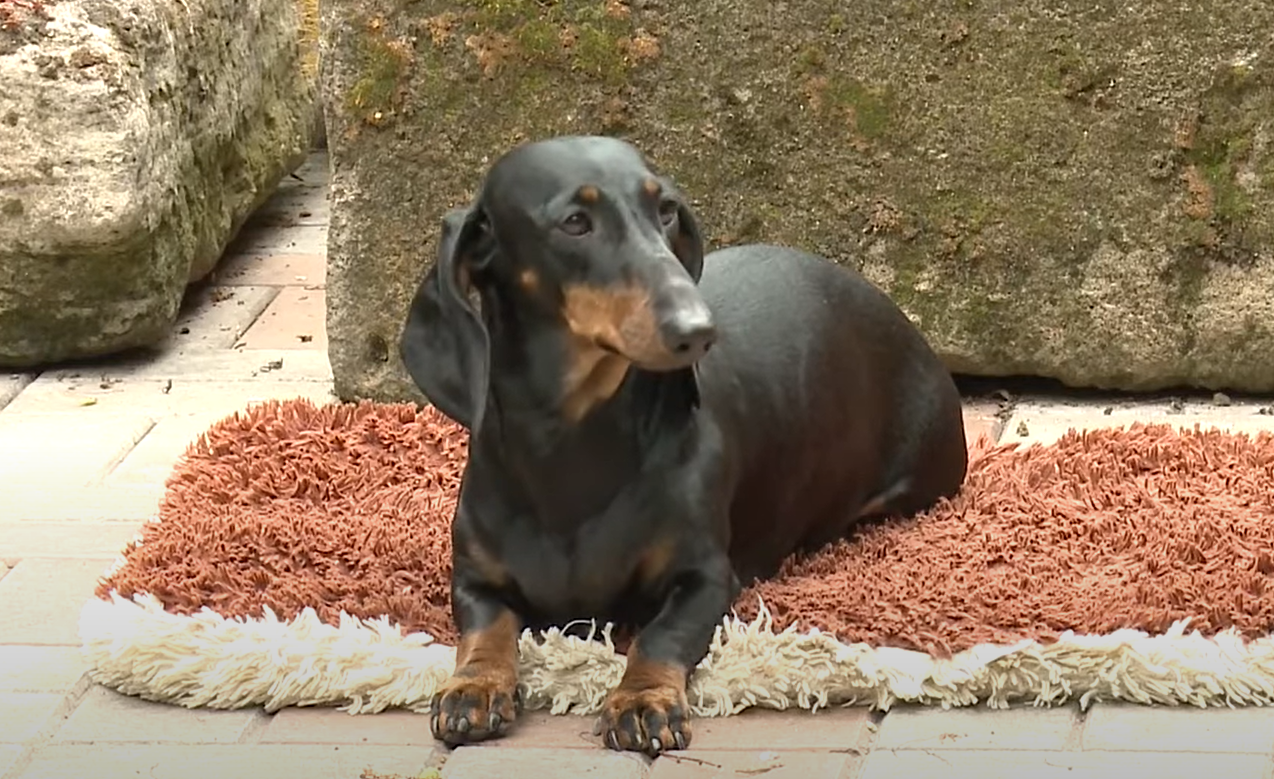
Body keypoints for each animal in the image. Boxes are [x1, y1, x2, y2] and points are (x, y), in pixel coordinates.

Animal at [397, 133, 963, 754]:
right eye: (575, 222)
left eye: (664, 209)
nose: (699, 330)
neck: (571, 447)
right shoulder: (475, 580)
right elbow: (487, 630)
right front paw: (474, 686)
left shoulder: (707, 579)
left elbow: (661, 635)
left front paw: (643, 699)